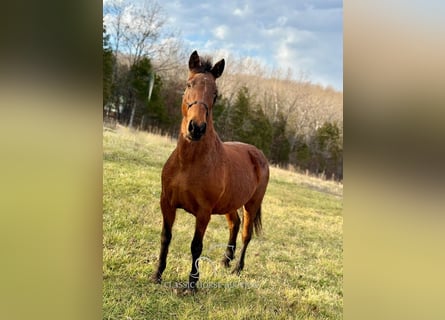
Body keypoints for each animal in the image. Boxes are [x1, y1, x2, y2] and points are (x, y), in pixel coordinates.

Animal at [151, 50, 268, 292]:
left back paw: (237, 268)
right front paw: (157, 275)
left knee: (246, 234)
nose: (196, 128)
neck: (188, 163)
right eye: (188, 84)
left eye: (215, 94)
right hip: (230, 205)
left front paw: (192, 285)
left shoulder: (203, 213)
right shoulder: (166, 203)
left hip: (251, 205)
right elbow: (166, 237)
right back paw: (225, 260)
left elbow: (196, 246)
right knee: (235, 224)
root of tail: (257, 153)